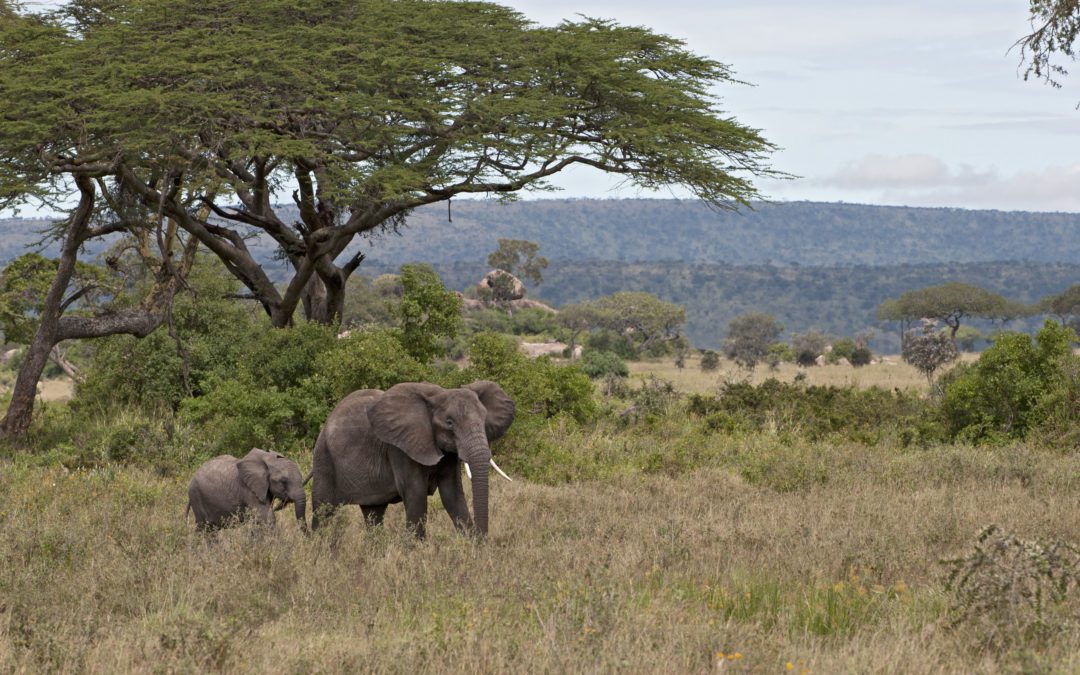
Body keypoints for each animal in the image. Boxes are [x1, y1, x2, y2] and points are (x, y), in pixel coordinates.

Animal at [311, 382, 516, 533]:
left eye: (484, 420)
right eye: (449, 423)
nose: (483, 537)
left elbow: (452, 495)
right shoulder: (400, 448)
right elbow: (416, 494)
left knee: (373, 514)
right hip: (323, 459)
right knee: (322, 512)